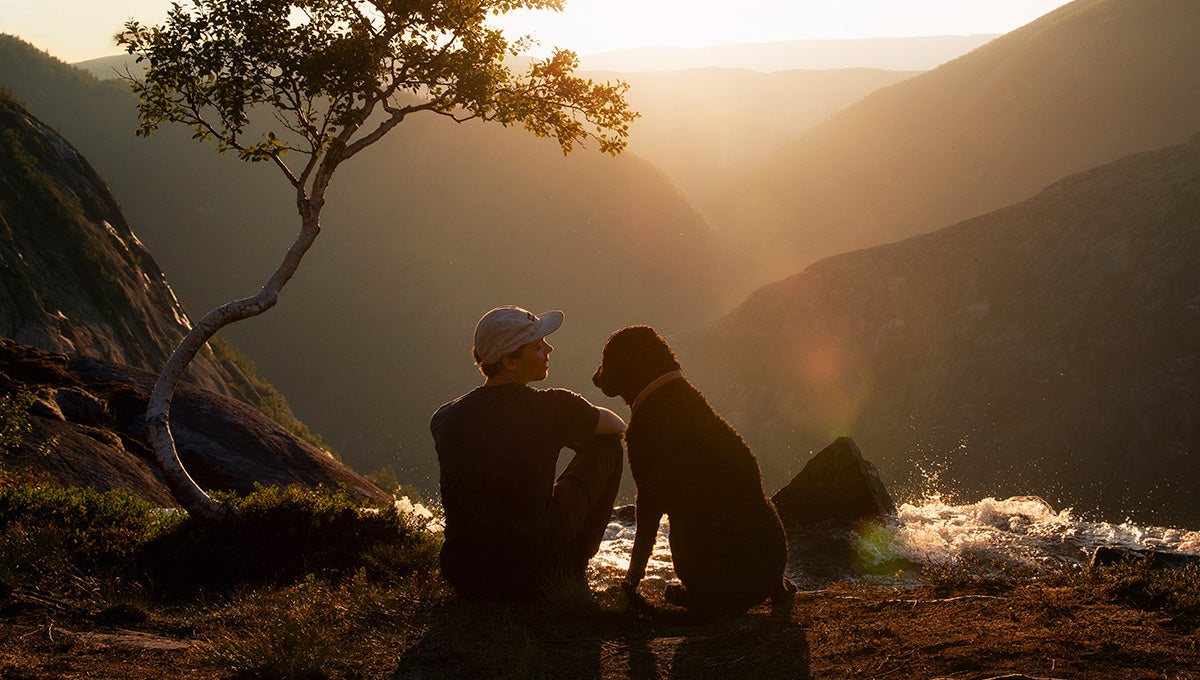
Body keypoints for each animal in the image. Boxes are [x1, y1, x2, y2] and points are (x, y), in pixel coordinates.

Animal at [592, 323, 796, 618]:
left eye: (607, 355)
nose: (595, 376)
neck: (657, 390)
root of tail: (771, 583)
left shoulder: (649, 494)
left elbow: (641, 548)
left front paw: (628, 586)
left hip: (682, 528)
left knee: (709, 600)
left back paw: (680, 594)